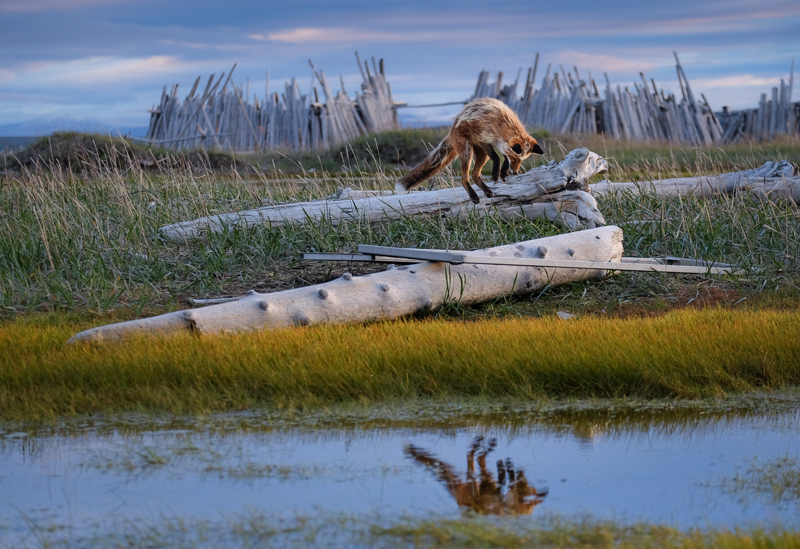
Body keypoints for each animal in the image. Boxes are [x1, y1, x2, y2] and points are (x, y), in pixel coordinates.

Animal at [394, 97, 544, 202]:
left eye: (521, 160)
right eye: (515, 158)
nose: (516, 171)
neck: (503, 125)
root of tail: (452, 129)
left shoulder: (499, 146)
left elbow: (503, 158)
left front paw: (503, 171)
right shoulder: (484, 139)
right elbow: (496, 158)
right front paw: (496, 173)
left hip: (482, 155)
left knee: (474, 175)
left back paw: (487, 191)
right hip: (468, 152)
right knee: (464, 178)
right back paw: (474, 196)